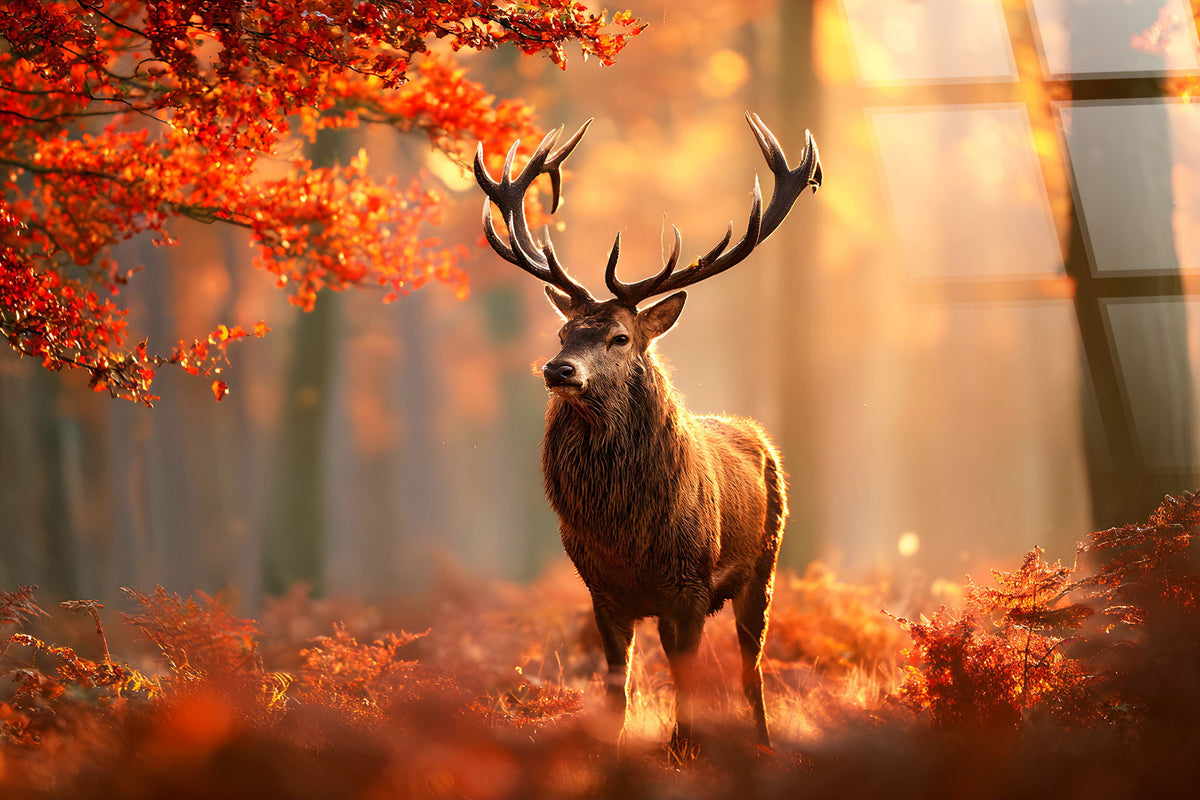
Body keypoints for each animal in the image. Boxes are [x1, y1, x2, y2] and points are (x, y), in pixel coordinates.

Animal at [473, 114, 821, 749]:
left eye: (620, 338)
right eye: (563, 334)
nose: (557, 369)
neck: (628, 531)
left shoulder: (690, 586)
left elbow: (689, 683)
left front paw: (686, 750)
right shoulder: (603, 591)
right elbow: (620, 689)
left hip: (764, 564)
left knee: (752, 666)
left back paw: (763, 743)